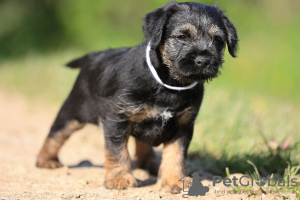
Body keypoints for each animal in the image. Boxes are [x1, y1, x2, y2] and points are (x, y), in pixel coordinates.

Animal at [35, 1, 237, 194]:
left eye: (218, 40)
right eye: (182, 37)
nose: (203, 60)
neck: (169, 83)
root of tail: (93, 56)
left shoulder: (183, 125)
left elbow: (175, 155)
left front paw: (173, 181)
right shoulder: (117, 119)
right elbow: (117, 151)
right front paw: (120, 179)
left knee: (143, 143)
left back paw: (150, 163)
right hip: (73, 111)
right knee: (56, 134)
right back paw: (45, 160)